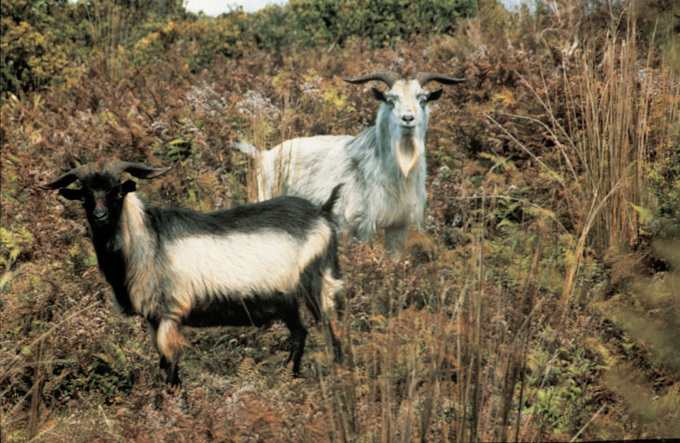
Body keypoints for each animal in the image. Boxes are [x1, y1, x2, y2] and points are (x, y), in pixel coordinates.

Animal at [40, 162, 343, 387]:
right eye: (85, 196)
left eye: (116, 192)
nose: (100, 216)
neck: (149, 243)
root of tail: (322, 212)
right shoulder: (153, 319)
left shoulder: (170, 313)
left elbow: (170, 365)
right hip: (286, 299)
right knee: (300, 333)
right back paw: (289, 376)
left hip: (316, 281)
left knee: (332, 330)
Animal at [235, 71, 464, 253]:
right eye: (390, 100)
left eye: (423, 99)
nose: (408, 119)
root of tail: (264, 155)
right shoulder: (361, 224)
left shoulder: (398, 225)